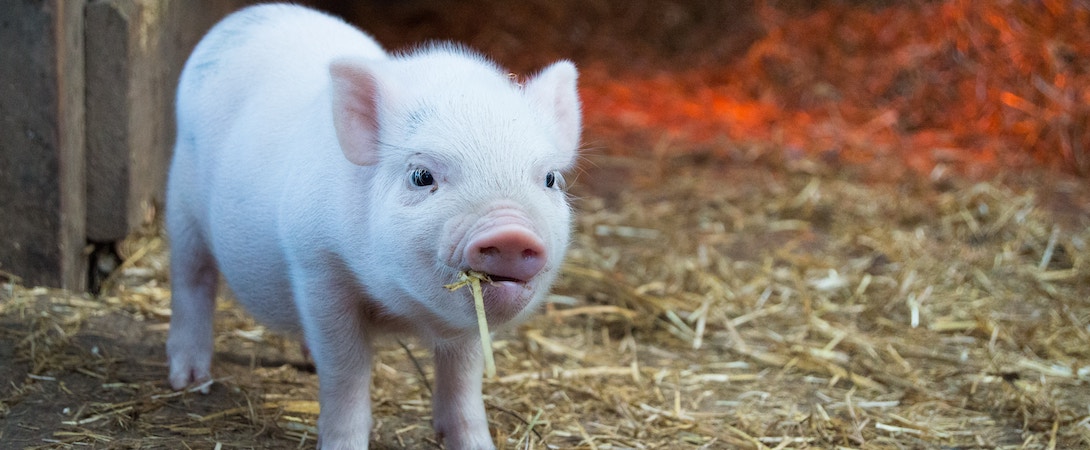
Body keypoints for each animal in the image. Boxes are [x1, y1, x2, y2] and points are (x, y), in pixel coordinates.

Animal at [164, 4, 581, 449]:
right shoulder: (318, 268)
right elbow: (346, 370)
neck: (402, 310)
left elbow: (464, 377)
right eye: (421, 176)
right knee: (192, 280)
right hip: (181, 203)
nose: (511, 232)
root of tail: (248, 15)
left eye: (550, 179)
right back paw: (189, 380)